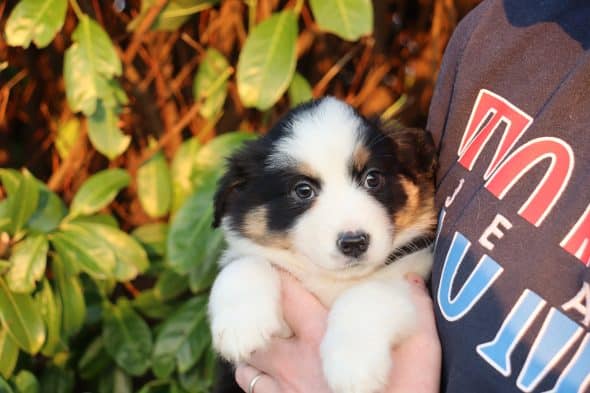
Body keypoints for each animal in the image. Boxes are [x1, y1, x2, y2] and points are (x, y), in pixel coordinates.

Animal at [210, 95, 438, 392]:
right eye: (303, 190)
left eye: (372, 178)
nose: (354, 242)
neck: (333, 281)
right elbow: (245, 262)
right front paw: (241, 324)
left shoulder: (415, 279)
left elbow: (369, 292)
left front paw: (353, 366)